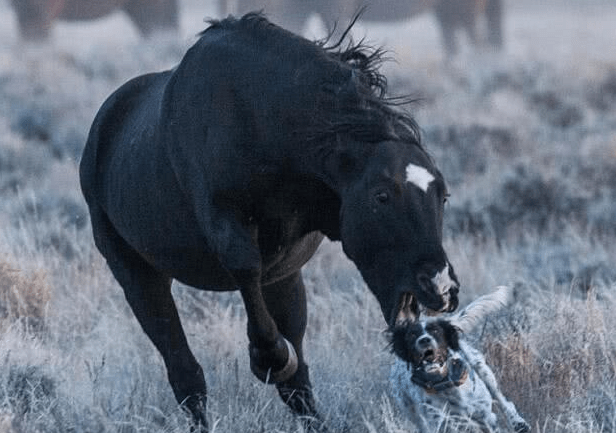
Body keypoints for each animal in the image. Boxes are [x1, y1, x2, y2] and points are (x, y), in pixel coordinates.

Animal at [79, 11, 460, 430]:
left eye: (442, 195)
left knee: (294, 383)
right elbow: (247, 275)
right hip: (138, 275)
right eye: (381, 196)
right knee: (185, 372)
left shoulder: (299, 247)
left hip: (284, 280)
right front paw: (269, 358)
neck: (259, 123)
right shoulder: (226, 222)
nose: (440, 286)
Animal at [390, 286, 528, 430]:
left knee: (504, 402)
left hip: (483, 371)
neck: (447, 387)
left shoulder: (485, 417)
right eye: (411, 335)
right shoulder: (442, 423)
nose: (424, 340)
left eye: (435, 330)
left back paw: (518, 423)